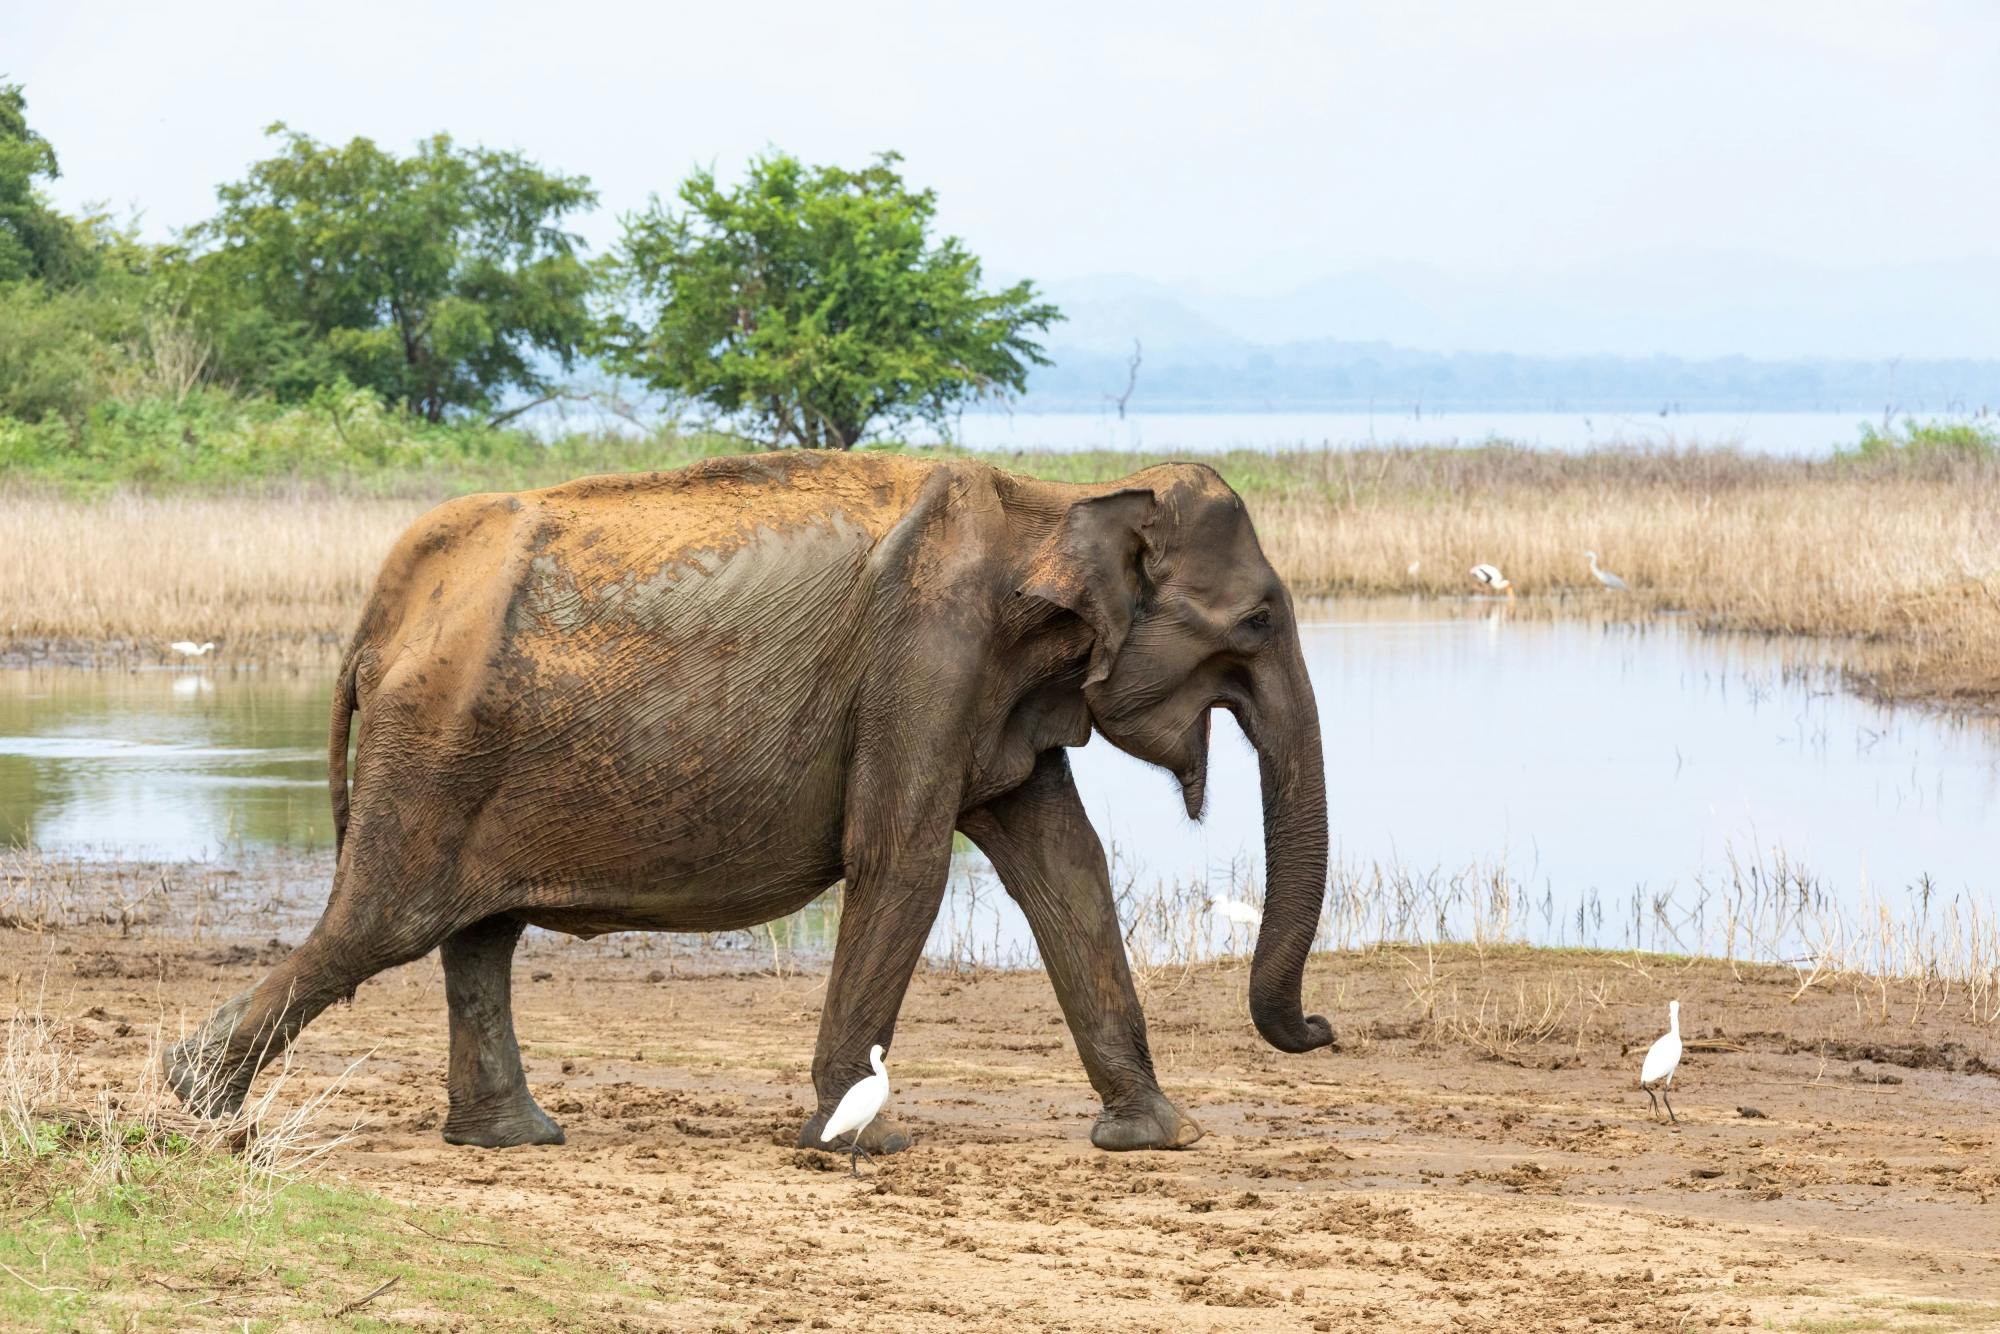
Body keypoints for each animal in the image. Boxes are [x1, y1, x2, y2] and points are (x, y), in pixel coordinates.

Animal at [164, 452, 1336, 1160]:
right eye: (1256, 617)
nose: (1319, 1028)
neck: (1061, 497)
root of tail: (383, 603)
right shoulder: (929, 654)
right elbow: (902, 861)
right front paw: (861, 1142)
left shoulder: (985, 690)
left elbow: (1064, 868)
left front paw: (1157, 1138)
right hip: (436, 742)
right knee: (384, 923)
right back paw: (193, 1097)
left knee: (475, 936)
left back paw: (514, 1138)